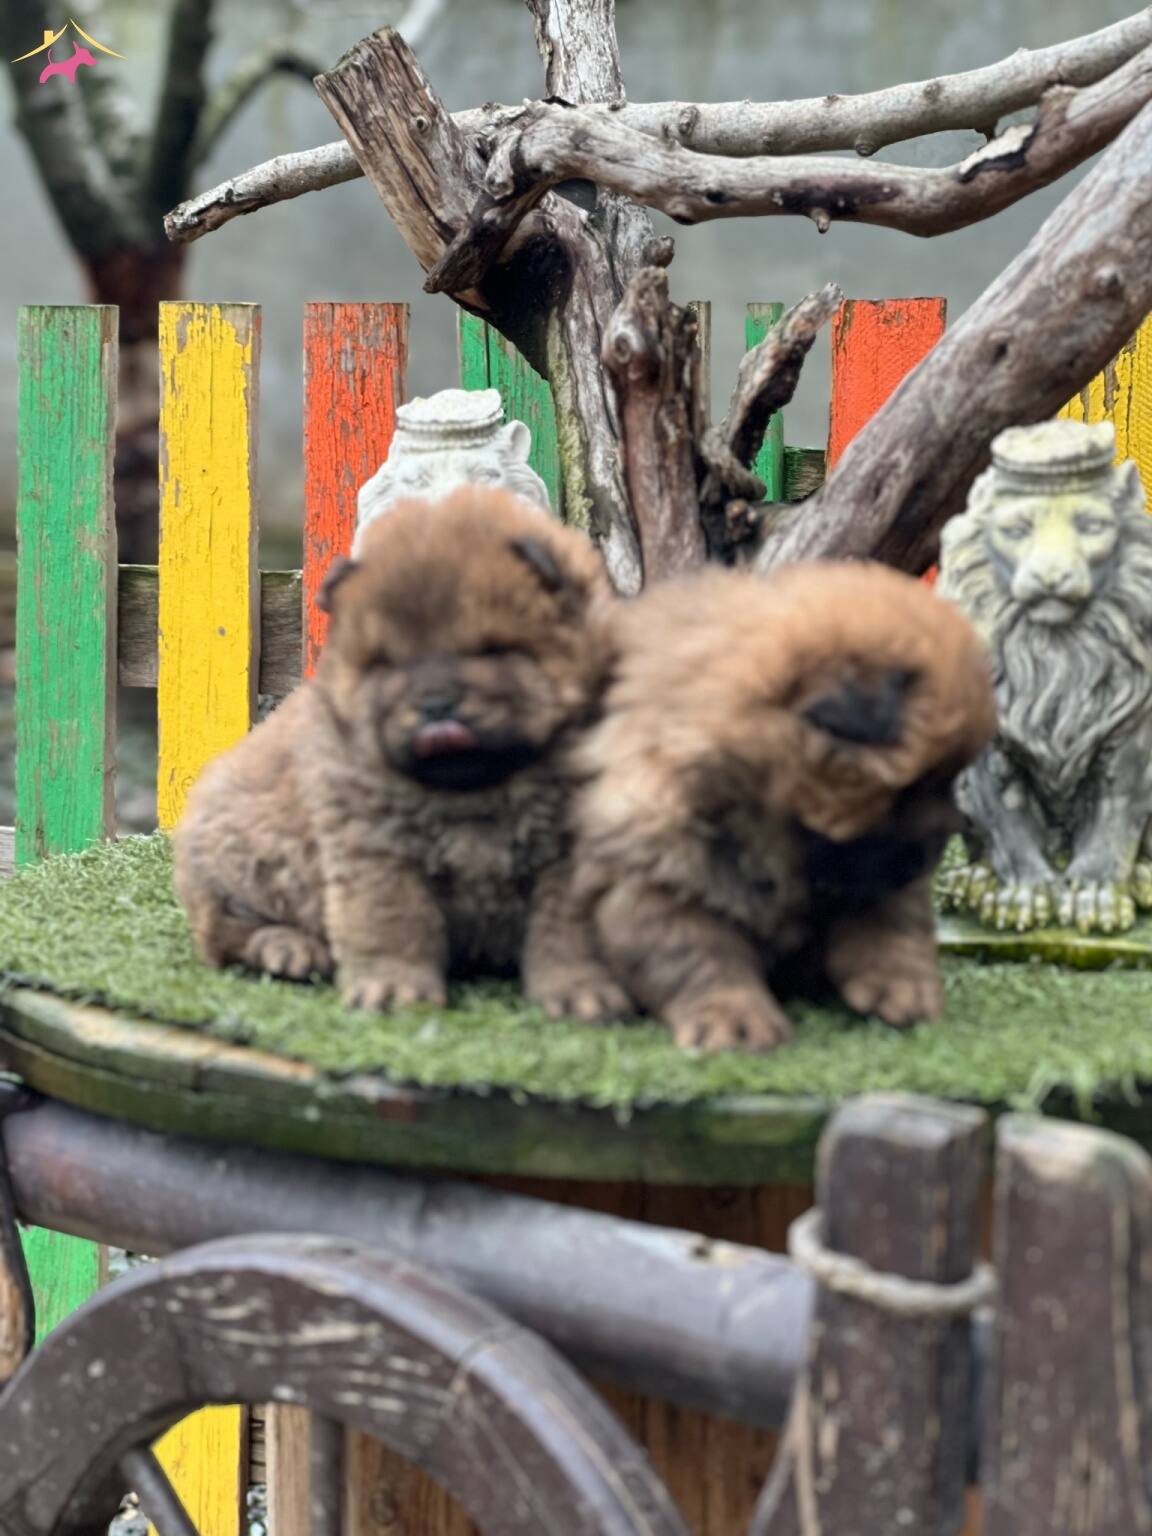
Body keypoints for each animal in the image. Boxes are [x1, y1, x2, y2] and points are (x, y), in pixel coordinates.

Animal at [174, 487, 628, 1020]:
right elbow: (392, 920)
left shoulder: (573, 855)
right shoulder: (375, 847)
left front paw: (580, 992)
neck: (476, 790)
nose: (434, 703)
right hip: (244, 862)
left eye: (491, 651)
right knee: (226, 933)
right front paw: (394, 991)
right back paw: (292, 950)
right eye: (387, 664)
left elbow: (568, 931)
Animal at [573, 562, 995, 1052]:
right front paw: (736, 1021)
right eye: (914, 788)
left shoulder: (874, 877)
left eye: (949, 779)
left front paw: (903, 989)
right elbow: (702, 953)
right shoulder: (654, 876)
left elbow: (889, 924)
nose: (940, 846)